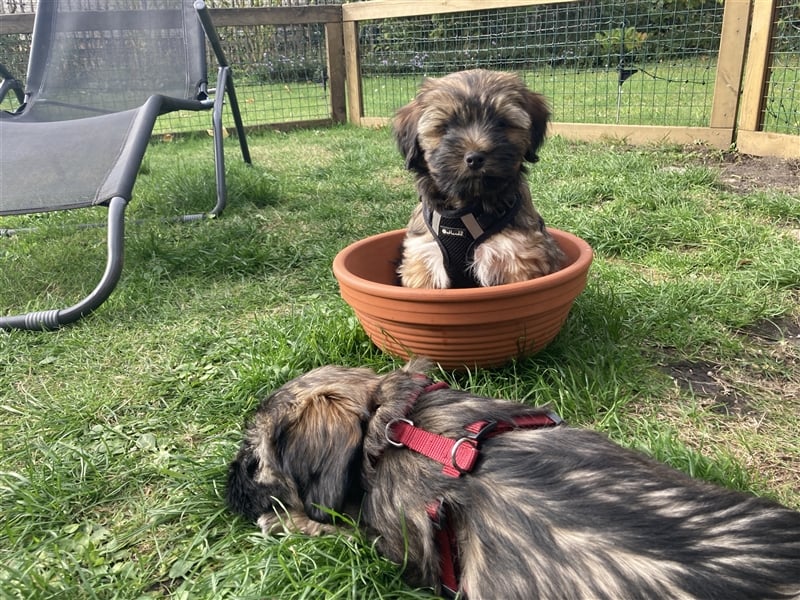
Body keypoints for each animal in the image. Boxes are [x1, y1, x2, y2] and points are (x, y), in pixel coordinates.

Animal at [227, 360, 800, 600]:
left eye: (252, 460)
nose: (226, 483)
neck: (396, 427)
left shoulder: (382, 550)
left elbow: (326, 531)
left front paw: (283, 523)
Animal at [392, 68, 564, 288]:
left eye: (501, 124)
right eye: (445, 127)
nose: (474, 158)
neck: (466, 206)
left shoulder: (515, 254)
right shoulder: (424, 253)